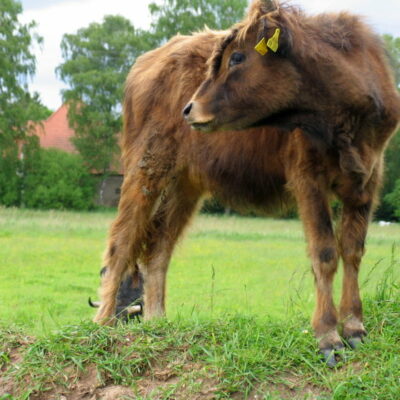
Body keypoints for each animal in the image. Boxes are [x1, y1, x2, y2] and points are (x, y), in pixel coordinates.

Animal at [94, 0, 400, 368]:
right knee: (121, 242)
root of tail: (149, 60)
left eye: (237, 57)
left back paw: (158, 323)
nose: (189, 108)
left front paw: (355, 327)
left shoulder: (366, 181)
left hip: (185, 186)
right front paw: (328, 337)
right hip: (147, 169)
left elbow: (353, 250)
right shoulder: (308, 180)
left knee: (157, 250)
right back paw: (100, 327)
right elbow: (325, 252)